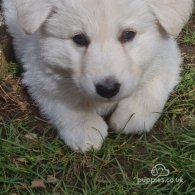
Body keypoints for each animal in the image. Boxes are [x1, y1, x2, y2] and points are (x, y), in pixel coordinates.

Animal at [2, 0, 193, 152]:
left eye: (128, 34)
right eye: (79, 38)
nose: (108, 89)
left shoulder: (168, 58)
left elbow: (152, 88)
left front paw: (131, 116)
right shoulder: (38, 74)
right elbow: (66, 101)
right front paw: (85, 128)